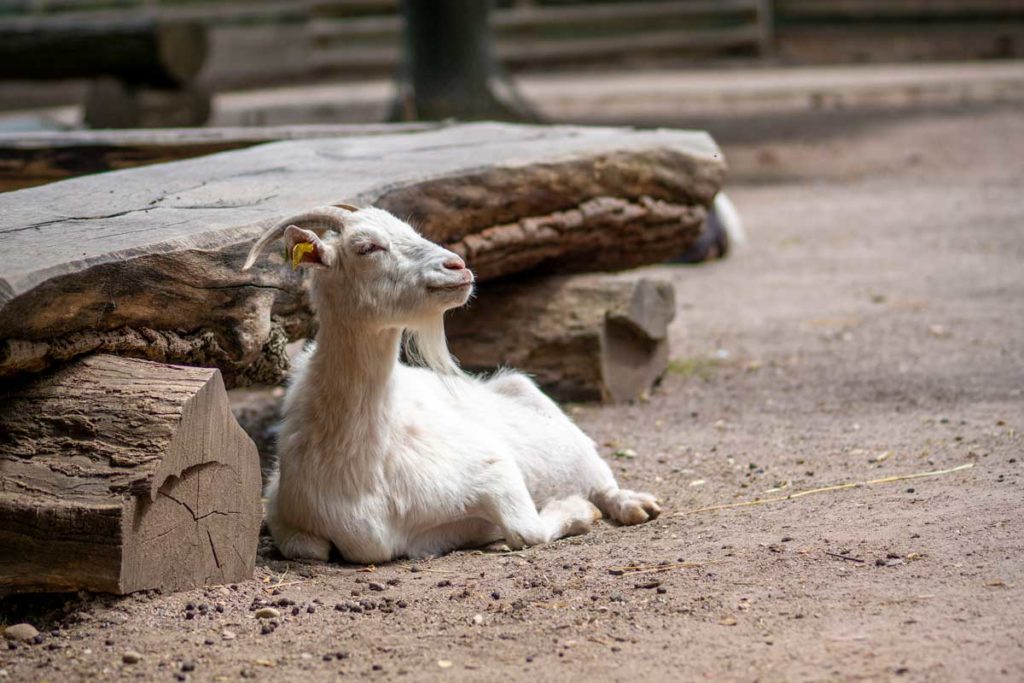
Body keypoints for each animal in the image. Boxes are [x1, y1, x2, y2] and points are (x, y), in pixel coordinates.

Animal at [240, 204, 659, 565]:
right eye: (367, 247)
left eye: (411, 231)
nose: (456, 266)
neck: (361, 458)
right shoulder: (283, 508)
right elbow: (308, 549)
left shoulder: (494, 470)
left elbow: (528, 531)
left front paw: (576, 510)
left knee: (602, 481)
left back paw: (636, 505)